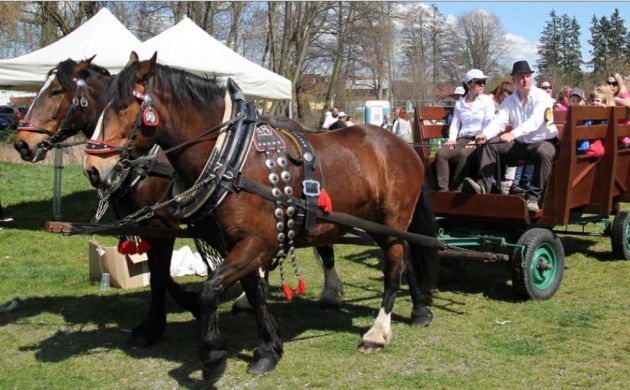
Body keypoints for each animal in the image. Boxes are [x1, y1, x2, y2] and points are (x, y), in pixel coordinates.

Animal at [84, 51, 440, 378]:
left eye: (123, 105)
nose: (92, 168)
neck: (231, 157)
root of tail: (405, 146)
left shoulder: (257, 242)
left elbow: (210, 290)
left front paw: (213, 356)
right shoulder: (239, 244)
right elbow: (254, 293)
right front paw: (269, 348)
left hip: (392, 221)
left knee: (394, 268)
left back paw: (377, 333)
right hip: (378, 224)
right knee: (406, 257)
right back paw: (418, 311)